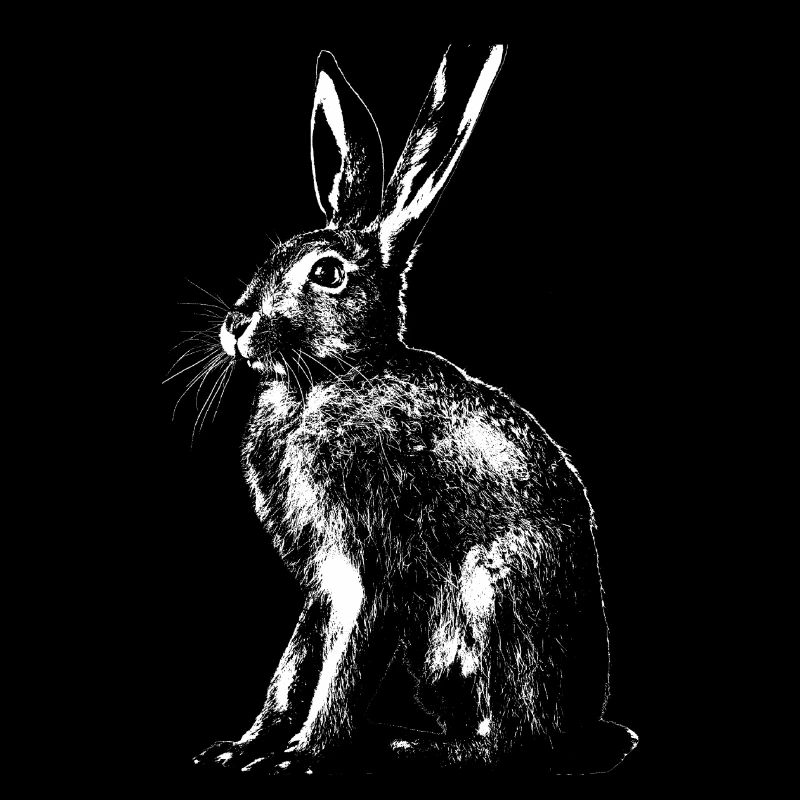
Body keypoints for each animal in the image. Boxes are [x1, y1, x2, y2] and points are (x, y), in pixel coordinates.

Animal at [190, 44, 638, 775]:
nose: (236, 325)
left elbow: (342, 665)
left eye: (326, 274)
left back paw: (412, 745)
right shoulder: (319, 582)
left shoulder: (369, 567)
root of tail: (584, 724)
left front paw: (301, 756)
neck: (332, 380)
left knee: (513, 743)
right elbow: (294, 663)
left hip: (493, 606)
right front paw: (244, 746)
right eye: (275, 254)